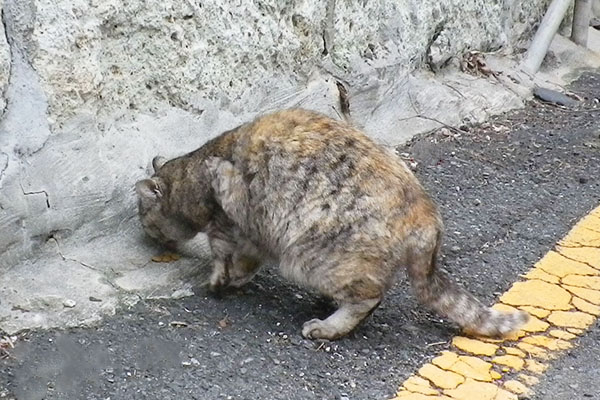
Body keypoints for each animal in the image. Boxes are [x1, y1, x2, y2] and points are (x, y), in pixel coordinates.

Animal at [135, 108, 524, 340]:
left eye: (145, 218)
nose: (147, 235)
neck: (192, 170)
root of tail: (426, 214)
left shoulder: (229, 216)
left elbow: (221, 252)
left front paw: (218, 280)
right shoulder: (254, 236)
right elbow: (246, 262)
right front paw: (236, 280)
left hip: (310, 257)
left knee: (368, 298)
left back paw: (328, 326)